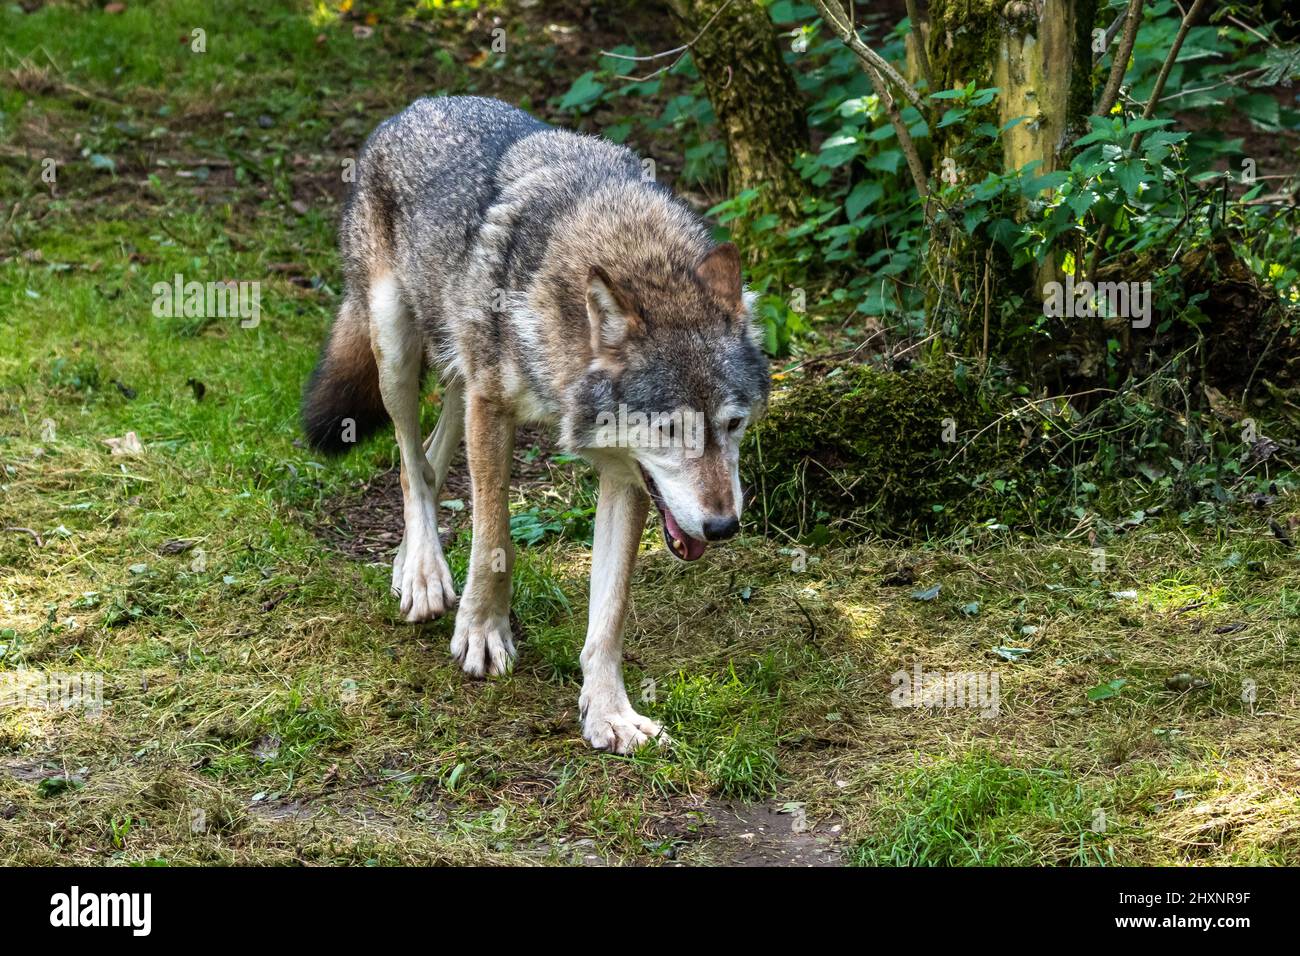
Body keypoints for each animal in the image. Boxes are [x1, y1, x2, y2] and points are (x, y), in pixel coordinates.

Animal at [301, 97, 769, 754]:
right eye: (670, 432)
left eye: (732, 425)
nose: (724, 526)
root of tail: (415, 107)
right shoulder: (493, 408)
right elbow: (494, 538)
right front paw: (481, 633)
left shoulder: (624, 474)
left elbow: (611, 608)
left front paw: (609, 712)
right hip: (396, 347)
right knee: (409, 462)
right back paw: (423, 572)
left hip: (456, 368)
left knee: (430, 455)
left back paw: (410, 563)